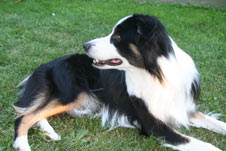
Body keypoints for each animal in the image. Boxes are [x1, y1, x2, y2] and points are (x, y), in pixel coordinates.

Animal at [13, 14, 225, 151]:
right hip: (73, 94)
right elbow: (204, 145)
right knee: (24, 116)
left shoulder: (183, 108)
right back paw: (23, 144)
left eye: (116, 36)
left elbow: (218, 123)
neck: (156, 74)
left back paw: (50, 133)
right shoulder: (153, 125)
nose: (85, 45)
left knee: (35, 112)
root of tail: (47, 64)